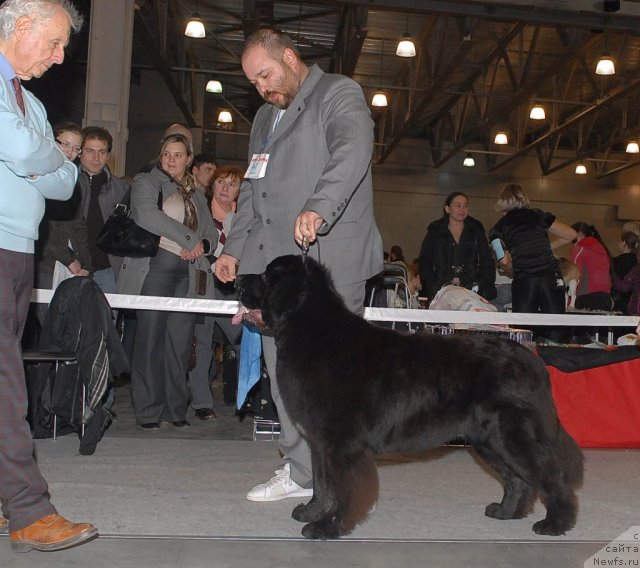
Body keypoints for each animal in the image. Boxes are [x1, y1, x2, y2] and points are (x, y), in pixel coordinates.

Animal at [236, 255, 584, 540]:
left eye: (267, 277)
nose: (237, 279)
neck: (312, 332)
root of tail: (532, 360)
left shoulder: (341, 443)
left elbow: (343, 488)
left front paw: (328, 526)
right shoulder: (320, 442)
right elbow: (322, 484)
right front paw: (311, 513)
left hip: (511, 435)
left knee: (550, 474)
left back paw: (556, 524)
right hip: (489, 439)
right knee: (517, 479)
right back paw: (505, 512)